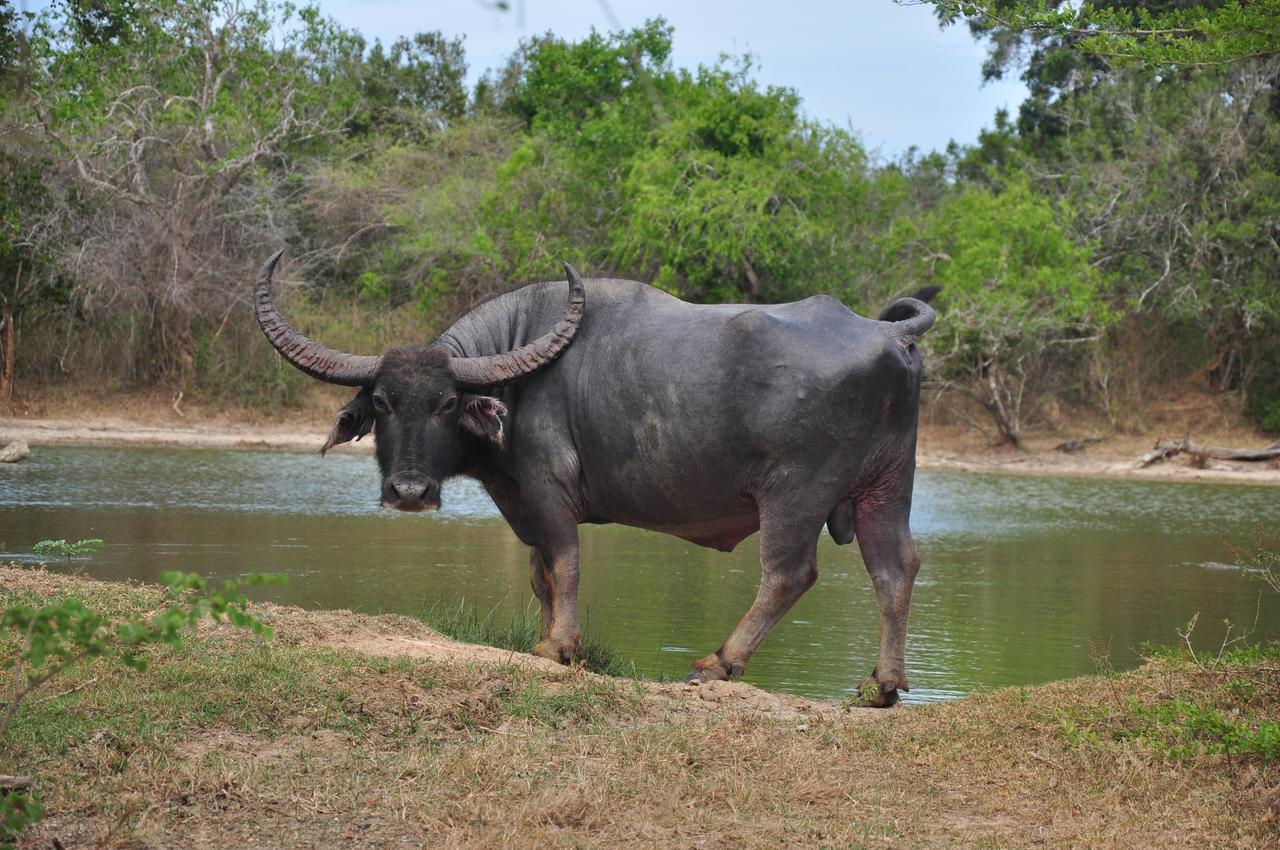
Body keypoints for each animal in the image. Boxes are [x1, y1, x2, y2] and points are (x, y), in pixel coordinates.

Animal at [254, 250, 936, 701]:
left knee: (789, 573)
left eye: (446, 403)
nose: (409, 492)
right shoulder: (520, 502)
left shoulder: (548, 492)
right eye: (383, 402)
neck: (514, 379)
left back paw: (719, 663)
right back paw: (882, 685)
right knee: (895, 567)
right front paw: (544, 636)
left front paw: (560, 647)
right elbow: (540, 575)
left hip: (795, 494)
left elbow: (566, 563)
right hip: (887, 487)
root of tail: (884, 331)